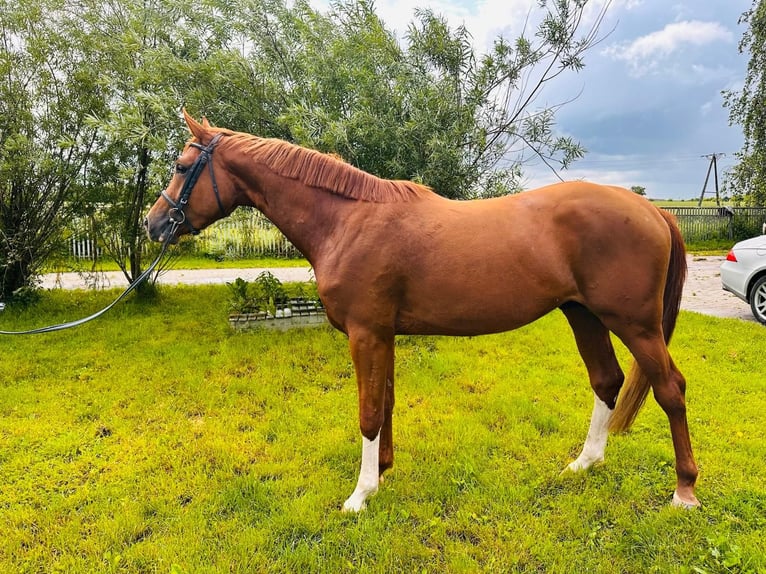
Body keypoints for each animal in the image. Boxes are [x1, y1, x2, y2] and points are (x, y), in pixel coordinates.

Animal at [145, 111, 699, 511]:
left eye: (180, 166)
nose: (154, 225)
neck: (346, 220)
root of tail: (652, 210)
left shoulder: (366, 333)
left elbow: (368, 411)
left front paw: (360, 495)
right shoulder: (382, 334)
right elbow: (385, 403)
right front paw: (383, 473)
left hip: (635, 324)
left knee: (670, 389)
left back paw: (684, 491)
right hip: (583, 314)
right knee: (607, 382)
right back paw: (585, 464)